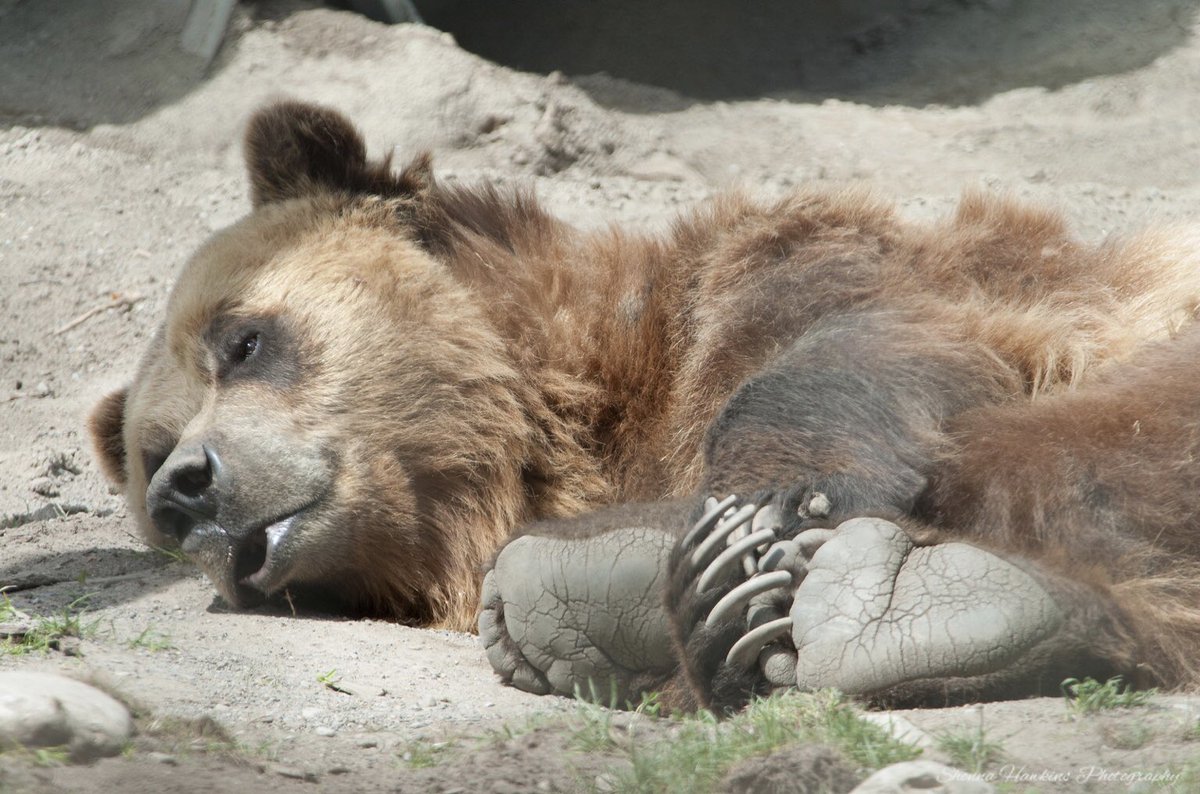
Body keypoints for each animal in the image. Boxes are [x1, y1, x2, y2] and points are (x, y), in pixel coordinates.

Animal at [91, 100, 1200, 711]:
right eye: (151, 456)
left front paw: (758, 524)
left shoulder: (849, 275)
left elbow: (877, 342)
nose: (191, 487)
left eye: (242, 339)